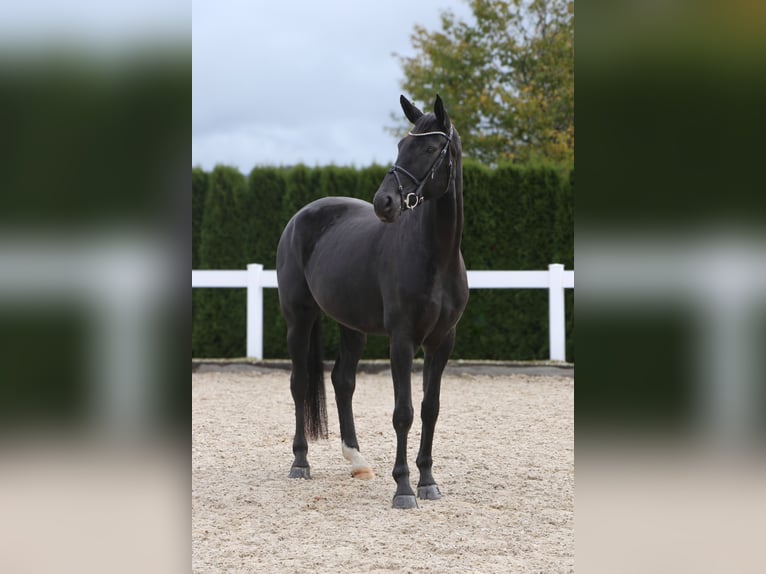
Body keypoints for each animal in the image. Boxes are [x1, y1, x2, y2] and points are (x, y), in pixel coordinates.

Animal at [276, 95, 468, 512]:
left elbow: (430, 410)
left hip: (353, 326)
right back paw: (300, 462)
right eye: (400, 144)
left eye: (430, 148)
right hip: (299, 319)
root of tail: (299, 218)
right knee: (299, 383)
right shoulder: (402, 340)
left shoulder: (442, 342)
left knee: (342, 381)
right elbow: (403, 413)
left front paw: (428, 482)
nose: (385, 202)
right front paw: (404, 489)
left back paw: (357, 461)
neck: (437, 256)